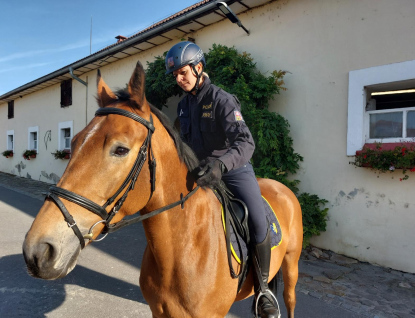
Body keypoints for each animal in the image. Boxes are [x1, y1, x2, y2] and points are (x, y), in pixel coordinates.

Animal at [22, 60, 302, 316]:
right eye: (75, 141)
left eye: (120, 149)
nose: (38, 251)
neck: (184, 250)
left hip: (291, 264)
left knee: (290, 299)